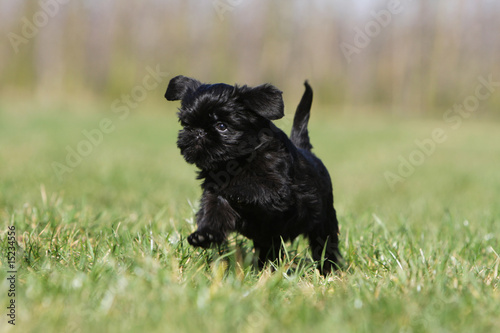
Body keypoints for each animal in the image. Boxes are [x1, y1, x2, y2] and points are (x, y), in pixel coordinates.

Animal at [166, 76, 342, 274]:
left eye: (221, 126)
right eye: (187, 124)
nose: (198, 132)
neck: (234, 162)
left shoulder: (278, 189)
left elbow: (252, 187)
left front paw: (233, 189)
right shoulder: (216, 201)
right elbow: (214, 214)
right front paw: (204, 235)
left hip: (324, 221)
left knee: (325, 245)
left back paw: (329, 269)